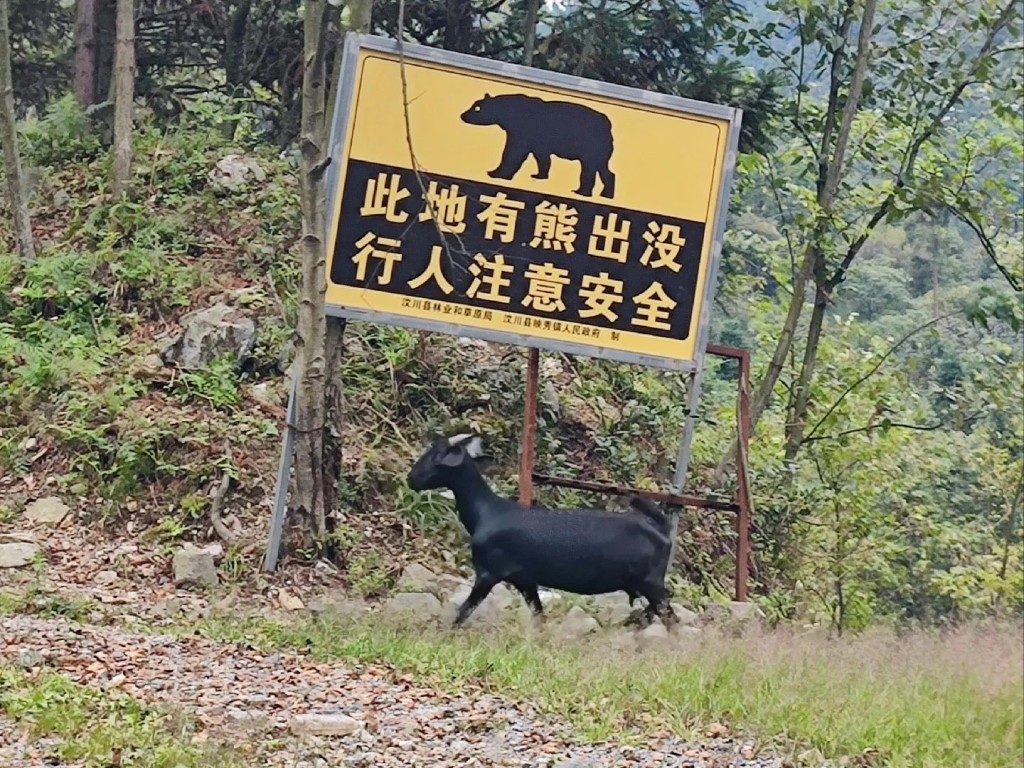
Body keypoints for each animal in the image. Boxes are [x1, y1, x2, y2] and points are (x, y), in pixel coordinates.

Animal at [403, 434, 675, 630]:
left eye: (438, 456)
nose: (411, 479)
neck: (487, 512)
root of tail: (662, 531)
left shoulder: (488, 573)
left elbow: (464, 610)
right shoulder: (525, 579)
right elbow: (539, 615)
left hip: (651, 583)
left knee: (670, 617)